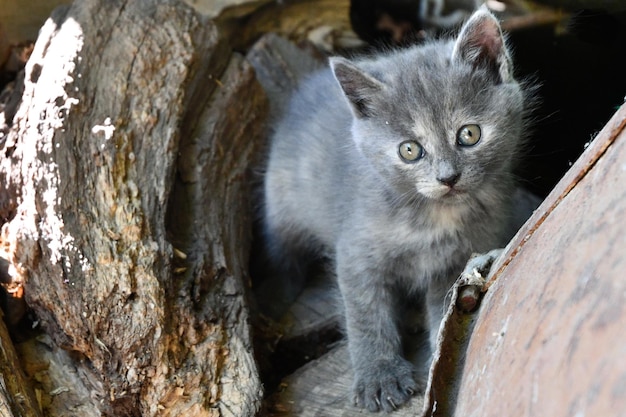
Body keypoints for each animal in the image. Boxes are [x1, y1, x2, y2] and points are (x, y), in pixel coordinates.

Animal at [260, 7, 528, 412]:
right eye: (409, 150)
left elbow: (445, 311)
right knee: (281, 256)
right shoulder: (357, 253)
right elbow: (366, 314)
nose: (448, 177)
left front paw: (437, 359)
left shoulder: (457, 264)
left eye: (469, 134)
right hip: (282, 203)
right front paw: (379, 376)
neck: (434, 216)